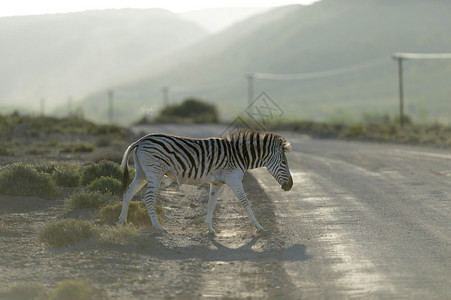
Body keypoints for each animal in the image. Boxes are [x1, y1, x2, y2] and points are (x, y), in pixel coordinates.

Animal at [116, 129, 294, 234]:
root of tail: (141, 140)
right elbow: (245, 202)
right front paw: (259, 227)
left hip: (142, 173)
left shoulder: (218, 183)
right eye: (284, 163)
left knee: (128, 192)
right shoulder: (233, 179)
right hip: (155, 173)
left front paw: (210, 228)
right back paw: (158, 227)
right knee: (148, 198)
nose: (290, 186)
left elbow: (211, 204)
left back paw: (121, 221)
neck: (240, 155)